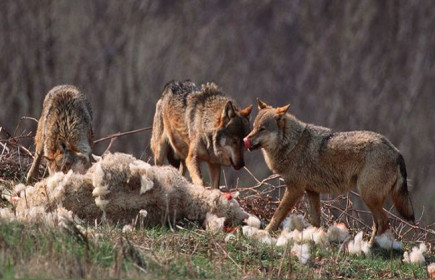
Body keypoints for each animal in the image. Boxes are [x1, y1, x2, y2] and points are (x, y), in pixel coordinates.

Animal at [245, 99, 416, 243]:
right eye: (253, 127)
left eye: (262, 129)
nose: (245, 139)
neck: (291, 145)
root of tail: (397, 152)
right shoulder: (312, 192)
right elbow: (316, 221)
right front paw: (314, 237)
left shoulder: (295, 190)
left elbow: (277, 214)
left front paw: (265, 232)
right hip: (370, 199)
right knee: (379, 224)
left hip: (368, 196)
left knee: (383, 222)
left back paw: (371, 247)